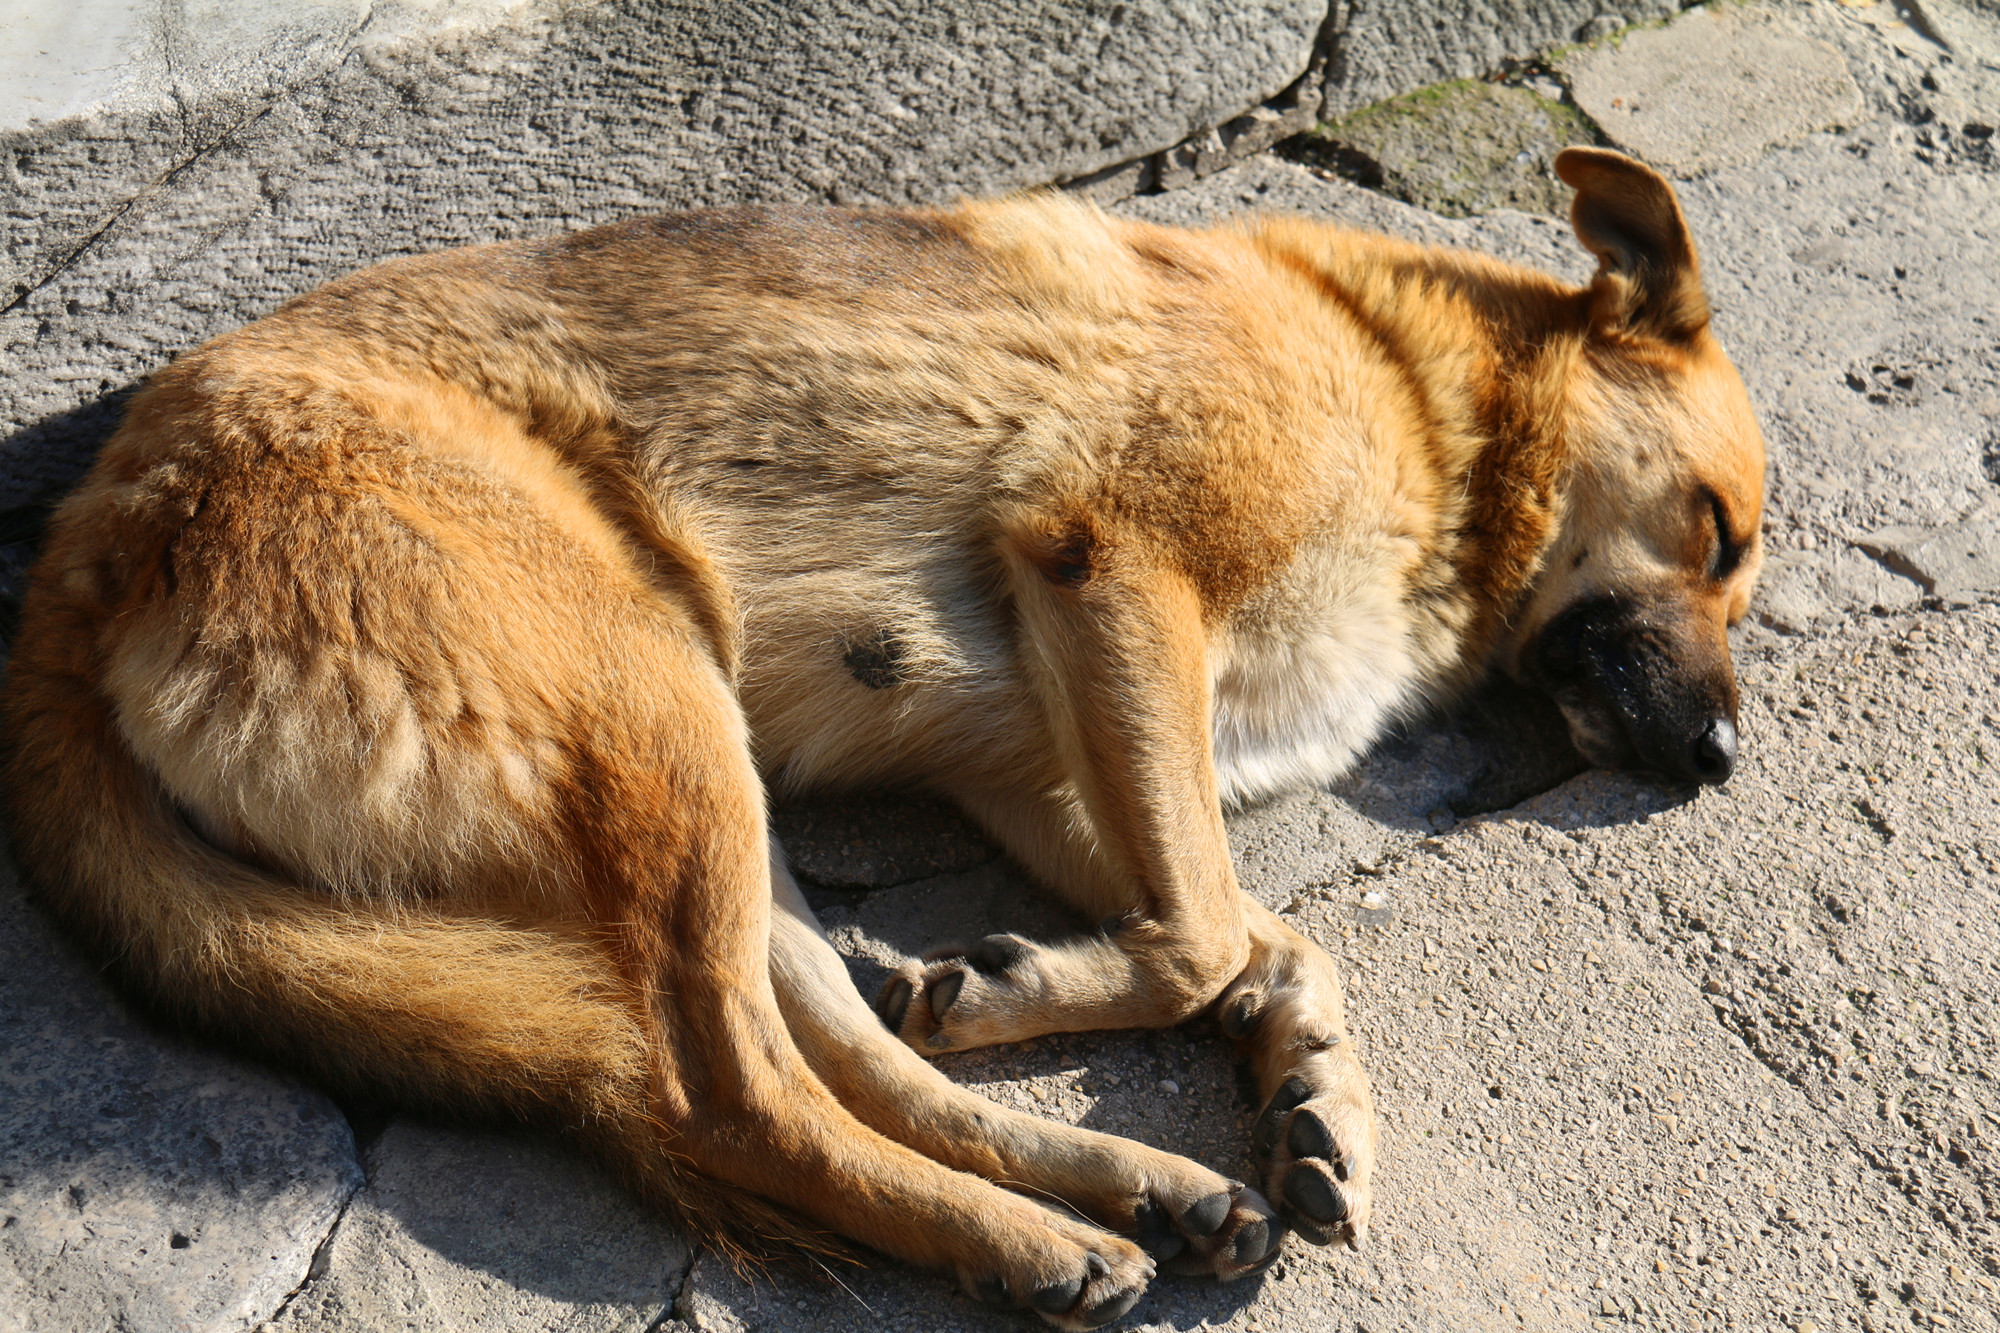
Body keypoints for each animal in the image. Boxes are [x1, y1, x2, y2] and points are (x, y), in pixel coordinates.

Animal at [7, 150, 1768, 1320]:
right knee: (732, 1095)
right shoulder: (1115, 577)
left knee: (836, 1049)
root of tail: (93, 539)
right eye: (1722, 533)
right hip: (656, 709)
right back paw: (1029, 1240)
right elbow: (1204, 933)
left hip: (711, 778)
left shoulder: (1044, 767)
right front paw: (1154, 1018)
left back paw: (1126, 1181)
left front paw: (1311, 1089)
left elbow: (1267, 939)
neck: (1430, 409)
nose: (1721, 767)